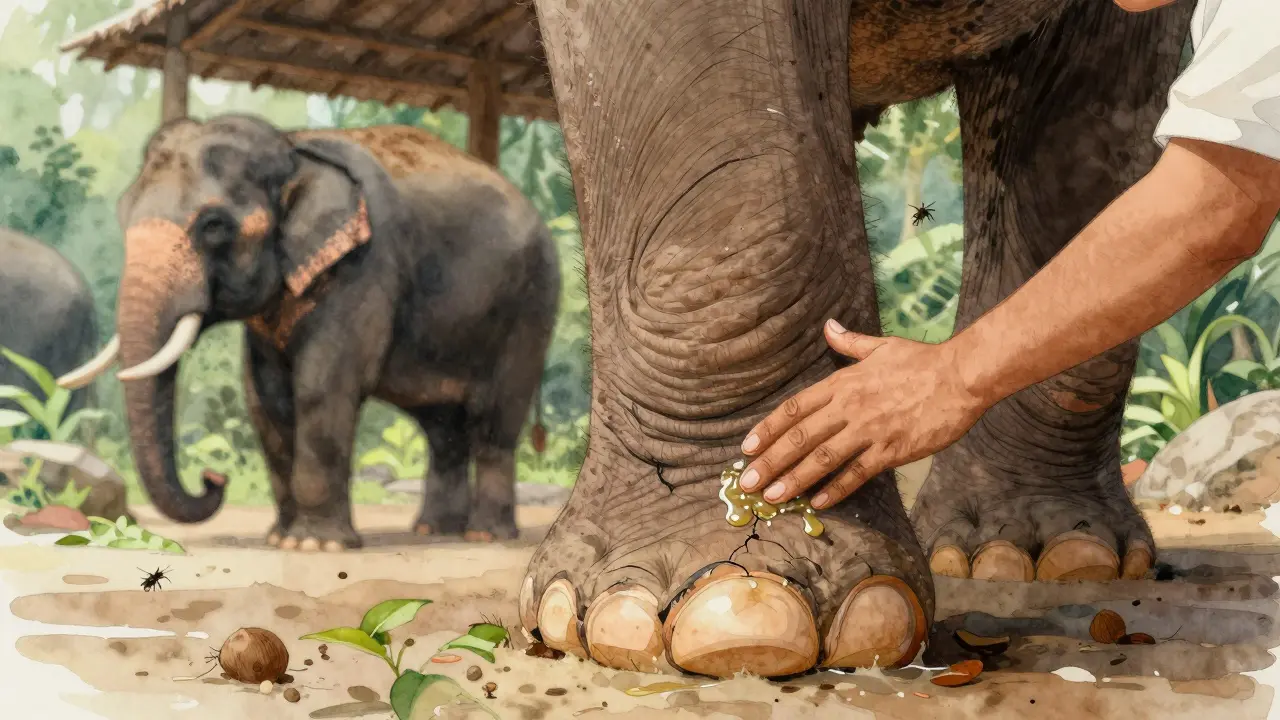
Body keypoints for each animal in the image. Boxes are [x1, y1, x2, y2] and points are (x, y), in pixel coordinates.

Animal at [59, 116, 560, 549]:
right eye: (123, 215)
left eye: (214, 226)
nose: (213, 478)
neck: (291, 147)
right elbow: (264, 395)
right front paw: (281, 539)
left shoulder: (364, 265)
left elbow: (322, 384)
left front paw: (316, 545)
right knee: (441, 427)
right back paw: (433, 530)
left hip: (529, 307)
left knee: (495, 420)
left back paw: (485, 535)